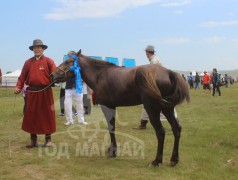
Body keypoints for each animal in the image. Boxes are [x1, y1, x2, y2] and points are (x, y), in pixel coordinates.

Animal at [50, 50, 190, 167]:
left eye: (68, 61)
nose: (52, 75)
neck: (100, 75)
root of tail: (168, 72)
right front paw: (111, 149)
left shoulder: (107, 106)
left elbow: (111, 128)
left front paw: (113, 151)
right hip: (167, 109)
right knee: (176, 129)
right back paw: (174, 159)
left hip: (152, 109)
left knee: (161, 132)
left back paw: (157, 161)